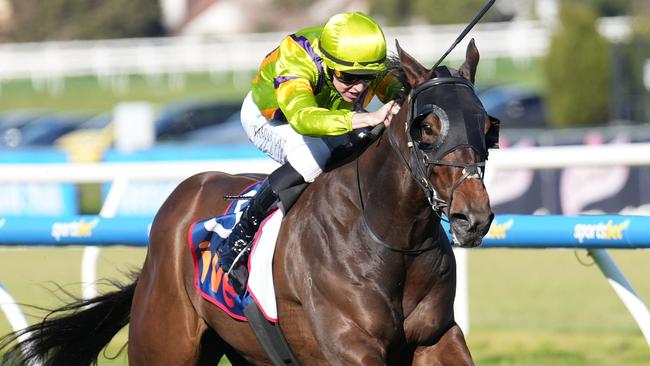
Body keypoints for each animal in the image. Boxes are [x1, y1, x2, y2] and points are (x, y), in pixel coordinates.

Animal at [0, 40, 494, 364]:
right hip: (165, 344)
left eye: (488, 125)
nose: (474, 217)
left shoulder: (437, 337)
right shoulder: (350, 348)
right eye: (426, 127)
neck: (389, 234)